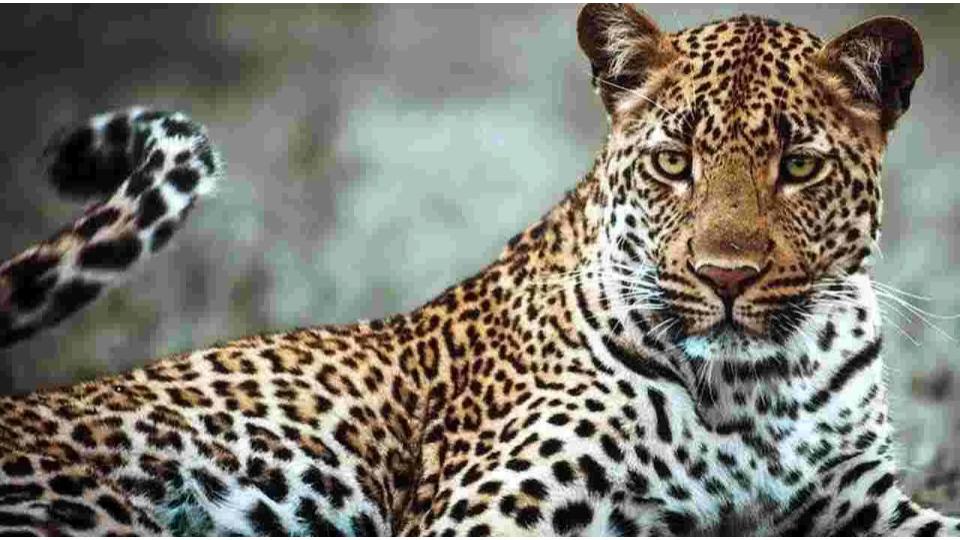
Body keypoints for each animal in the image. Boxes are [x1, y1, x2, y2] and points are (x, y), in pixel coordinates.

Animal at [1, 4, 958, 536]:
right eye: (673, 162)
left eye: (798, 167)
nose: (726, 276)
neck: (758, 388)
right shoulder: (489, 511)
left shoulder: (855, 500)